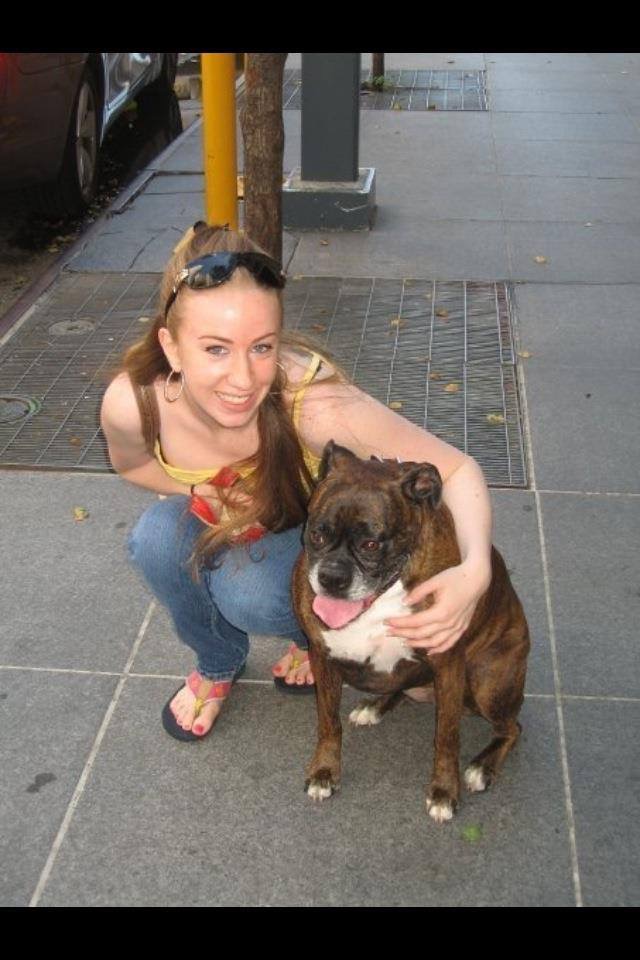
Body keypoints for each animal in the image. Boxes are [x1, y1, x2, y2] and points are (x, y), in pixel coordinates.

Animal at [292, 441, 530, 822]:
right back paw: (375, 707)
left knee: (512, 728)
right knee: (398, 687)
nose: (331, 577)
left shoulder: (448, 666)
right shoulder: (322, 657)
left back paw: (482, 768)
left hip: (487, 683)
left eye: (371, 544)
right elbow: (329, 723)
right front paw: (325, 771)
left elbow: (446, 738)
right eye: (317, 533)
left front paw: (444, 792)